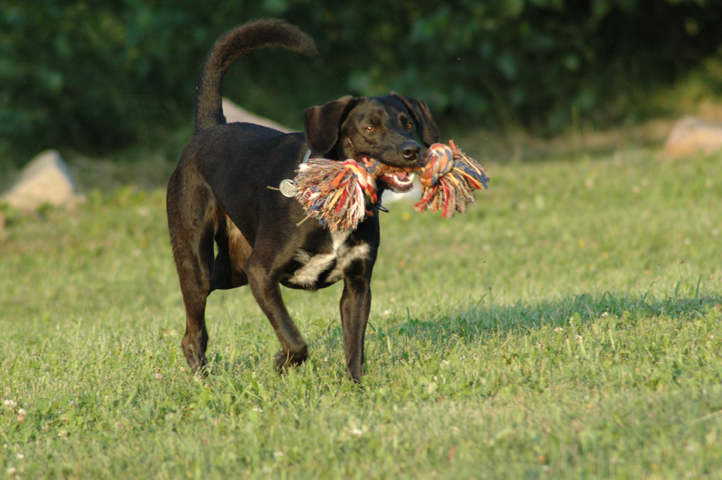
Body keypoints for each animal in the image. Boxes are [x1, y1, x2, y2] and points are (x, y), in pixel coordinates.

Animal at [167, 18, 438, 380]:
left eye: (408, 123)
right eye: (369, 128)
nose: (412, 150)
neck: (338, 201)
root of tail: (208, 129)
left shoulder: (357, 285)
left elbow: (354, 347)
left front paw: (356, 386)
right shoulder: (261, 272)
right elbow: (294, 339)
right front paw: (283, 361)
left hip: (234, 268)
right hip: (198, 258)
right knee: (193, 329)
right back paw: (202, 378)